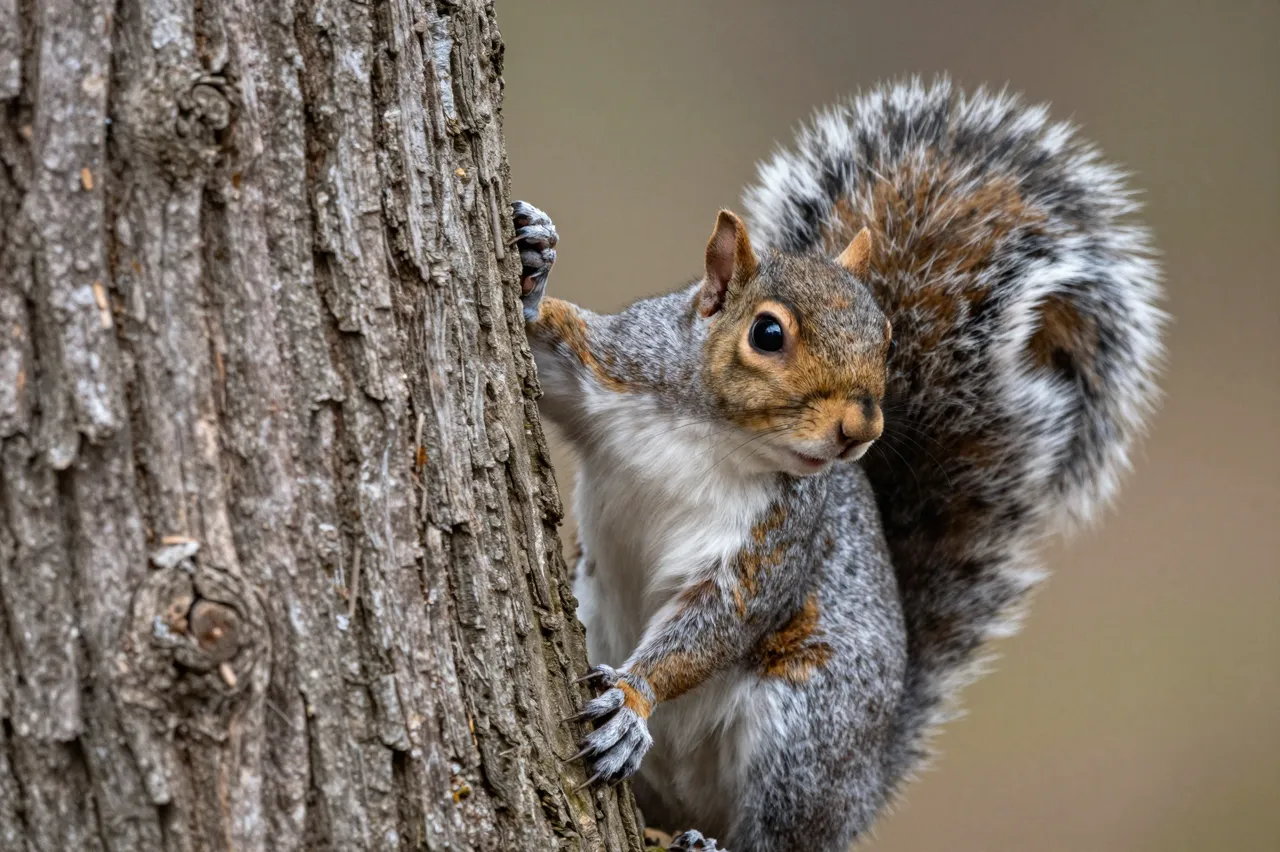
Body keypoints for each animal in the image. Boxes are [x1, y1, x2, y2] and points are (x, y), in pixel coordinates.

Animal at [511, 78, 1164, 852]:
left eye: (886, 337)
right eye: (767, 333)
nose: (863, 428)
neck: (711, 433)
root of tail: (868, 788)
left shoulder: (776, 536)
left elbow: (720, 621)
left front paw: (631, 703)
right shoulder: (615, 368)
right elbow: (550, 352)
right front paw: (533, 258)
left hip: (806, 729)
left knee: (779, 834)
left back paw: (710, 841)